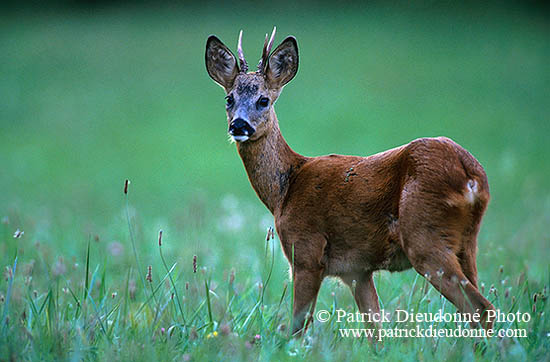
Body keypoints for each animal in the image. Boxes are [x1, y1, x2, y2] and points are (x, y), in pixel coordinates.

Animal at [206, 27, 496, 334]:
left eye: (263, 100)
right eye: (229, 99)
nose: (239, 125)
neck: (285, 189)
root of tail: (469, 174)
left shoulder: (306, 251)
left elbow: (298, 325)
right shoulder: (357, 270)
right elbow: (376, 329)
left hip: (425, 236)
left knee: (481, 309)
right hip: (467, 242)